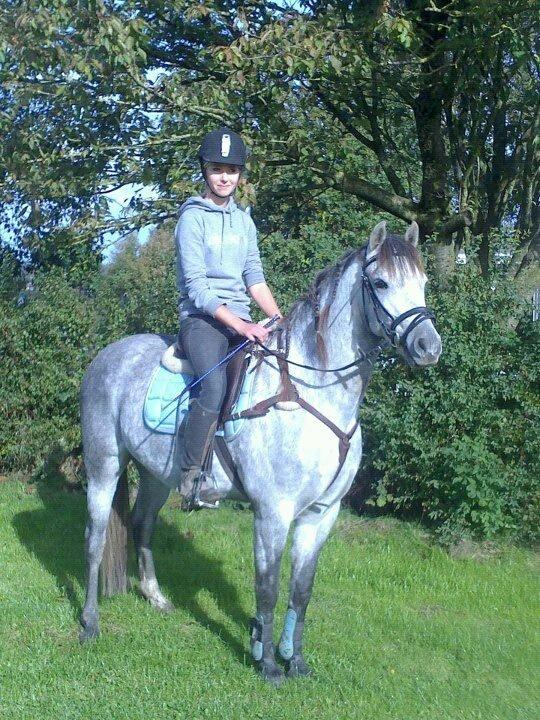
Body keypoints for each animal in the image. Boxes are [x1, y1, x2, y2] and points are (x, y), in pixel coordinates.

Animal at [79, 220, 442, 684]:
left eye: (423, 283)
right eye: (380, 282)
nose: (428, 347)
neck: (312, 393)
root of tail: (108, 355)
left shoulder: (321, 514)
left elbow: (301, 590)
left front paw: (295, 659)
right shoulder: (273, 511)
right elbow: (266, 587)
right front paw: (267, 662)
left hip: (157, 476)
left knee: (143, 525)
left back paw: (156, 597)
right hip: (104, 466)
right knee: (95, 538)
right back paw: (90, 623)